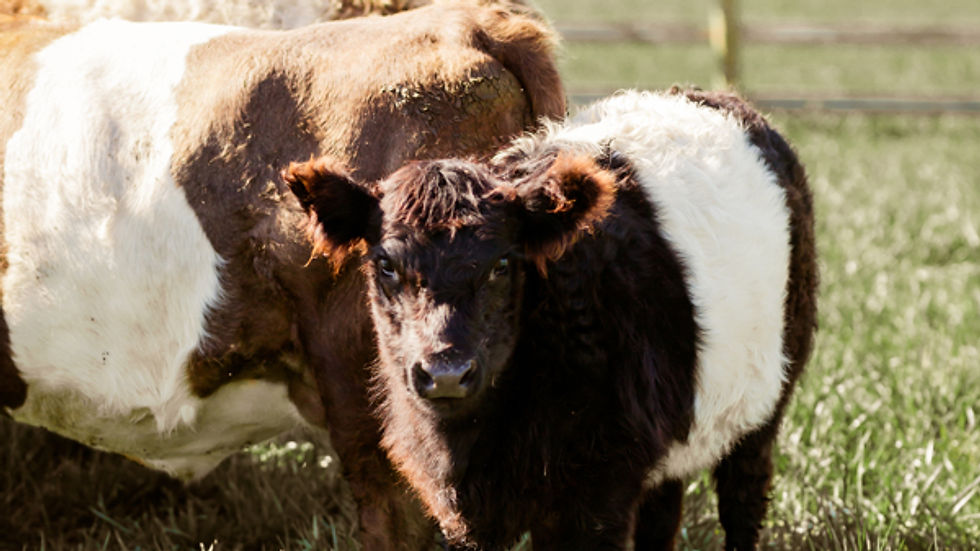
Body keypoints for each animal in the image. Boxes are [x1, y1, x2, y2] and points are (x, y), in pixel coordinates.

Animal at [283, 88, 818, 550]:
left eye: (503, 264)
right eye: (386, 265)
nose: (446, 373)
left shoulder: (599, 490)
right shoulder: (460, 506)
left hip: (768, 399)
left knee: (744, 496)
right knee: (664, 511)